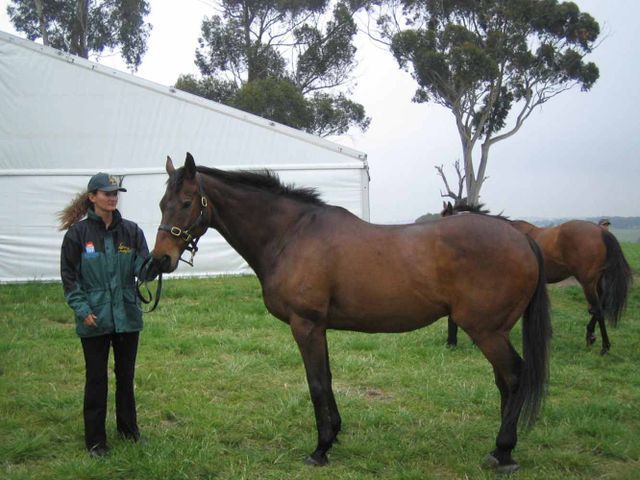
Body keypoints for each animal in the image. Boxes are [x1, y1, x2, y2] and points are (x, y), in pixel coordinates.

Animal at [146, 153, 552, 473]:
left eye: (186, 201)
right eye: (162, 202)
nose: (160, 260)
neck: (291, 235)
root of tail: (521, 237)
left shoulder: (305, 325)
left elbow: (315, 383)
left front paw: (320, 449)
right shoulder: (319, 328)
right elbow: (326, 378)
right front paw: (335, 435)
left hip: (486, 331)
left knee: (515, 376)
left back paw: (503, 451)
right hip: (494, 332)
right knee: (505, 382)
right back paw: (502, 451)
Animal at [441, 202, 632, 354]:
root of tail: (601, 231)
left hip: (587, 282)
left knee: (598, 309)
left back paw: (604, 346)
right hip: (596, 281)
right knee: (599, 307)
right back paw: (591, 336)